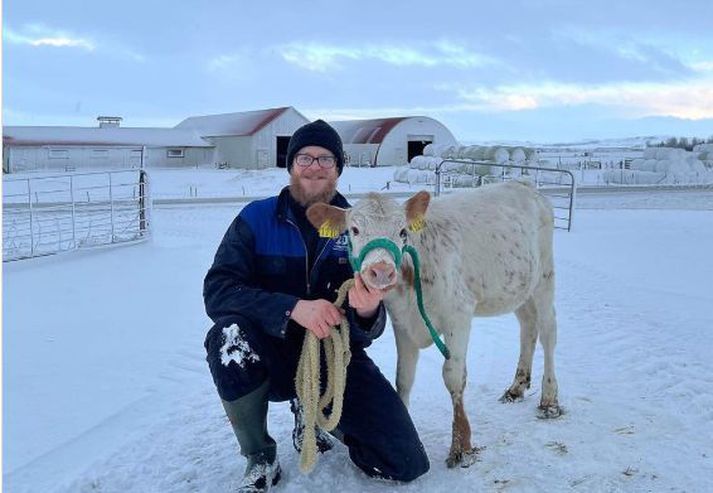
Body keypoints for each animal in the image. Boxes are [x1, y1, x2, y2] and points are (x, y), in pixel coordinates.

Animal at [306, 180, 560, 466]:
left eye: (403, 231)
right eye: (354, 230)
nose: (381, 271)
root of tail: (524, 184)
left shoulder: (458, 314)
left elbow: (453, 377)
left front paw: (461, 445)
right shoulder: (402, 323)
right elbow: (403, 378)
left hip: (544, 277)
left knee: (548, 331)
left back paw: (549, 399)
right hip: (518, 289)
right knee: (528, 326)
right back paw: (517, 387)